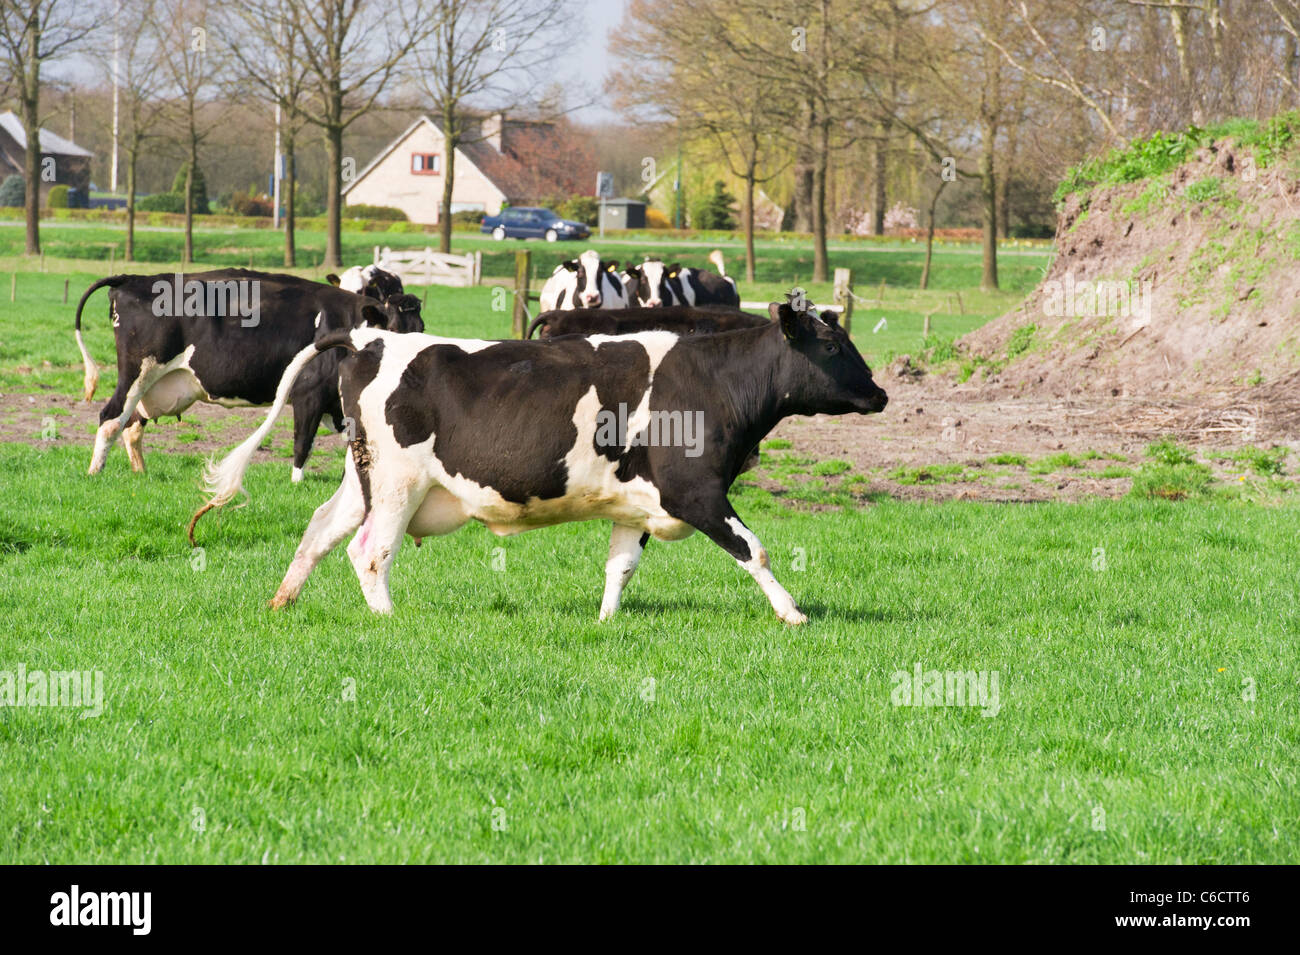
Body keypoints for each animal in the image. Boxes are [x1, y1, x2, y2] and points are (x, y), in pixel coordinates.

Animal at [75, 268, 424, 481]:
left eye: (420, 329)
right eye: (392, 330)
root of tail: (133, 279)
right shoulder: (308, 394)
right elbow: (302, 443)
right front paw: (297, 483)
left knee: (132, 425)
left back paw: (140, 473)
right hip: (137, 372)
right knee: (111, 417)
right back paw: (95, 472)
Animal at [190, 295, 888, 624]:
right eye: (831, 344)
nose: (880, 394)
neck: (714, 382)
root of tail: (369, 337)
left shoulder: (636, 503)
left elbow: (620, 567)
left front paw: (605, 622)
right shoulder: (697, 492)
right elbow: (756, 551)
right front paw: (793, 613)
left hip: (363, 480)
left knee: (318, 531)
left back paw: (283, 601)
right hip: (396, 484)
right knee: (370, 551)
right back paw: (389, 619)